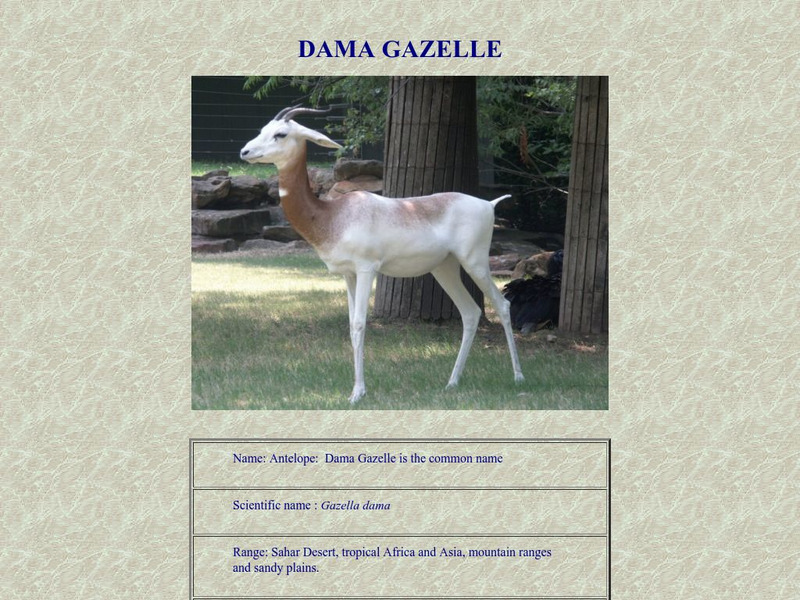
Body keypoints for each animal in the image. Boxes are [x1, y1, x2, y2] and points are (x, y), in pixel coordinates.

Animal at [240, 105, 524, 403]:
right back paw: (452, 382)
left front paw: (357, 393)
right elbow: (351, 326)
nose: (245, 152)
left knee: (503, 305)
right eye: (262, 129)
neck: (332, 215)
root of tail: (488, 204)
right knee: (470, 313)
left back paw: (518, 377)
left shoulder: (367, 269)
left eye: (281, 134)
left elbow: (359, 325)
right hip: (444, 268)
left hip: (475, 262)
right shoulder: (348, 275)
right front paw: (356, 389)